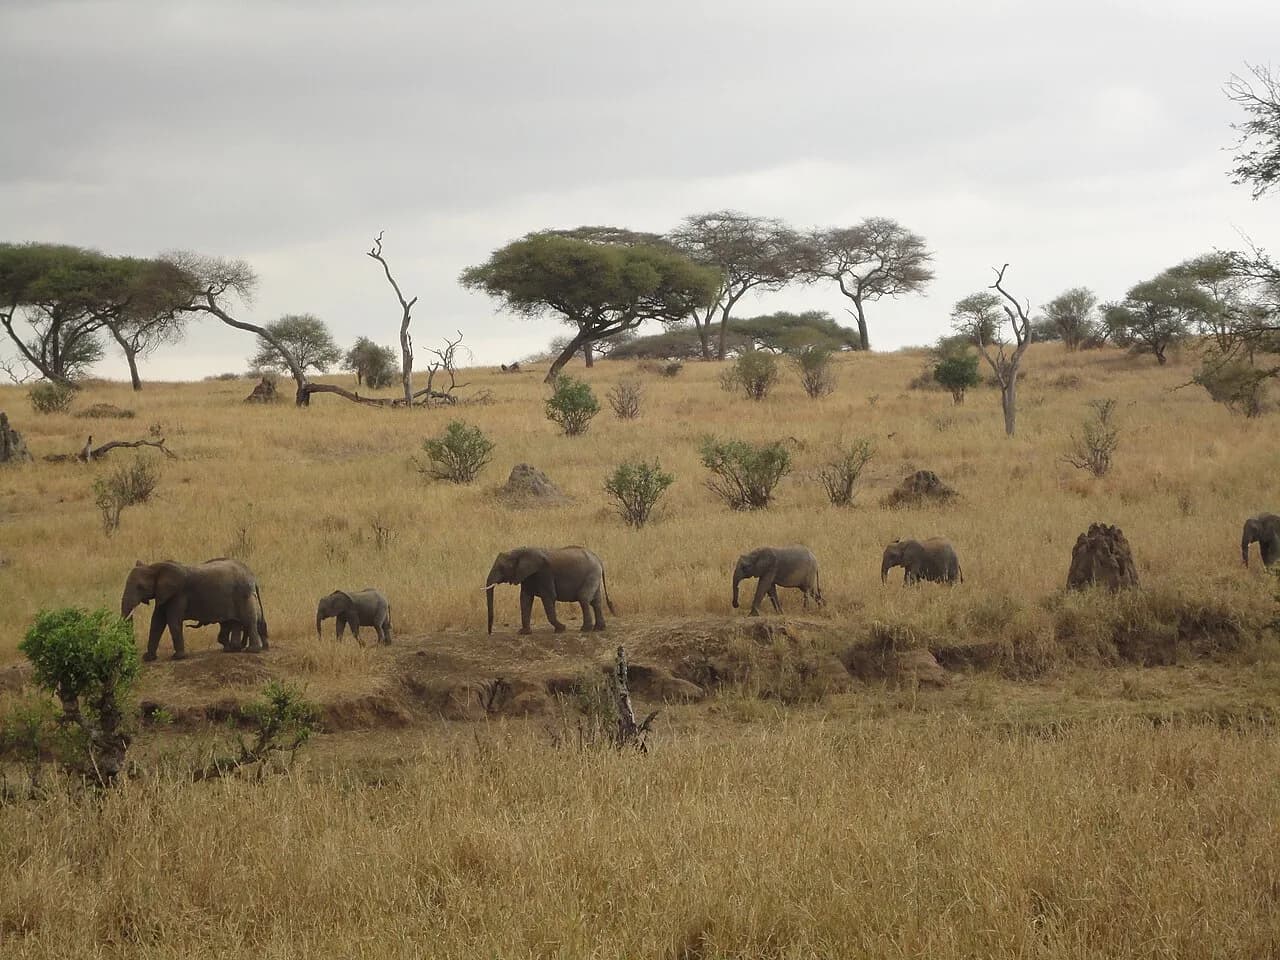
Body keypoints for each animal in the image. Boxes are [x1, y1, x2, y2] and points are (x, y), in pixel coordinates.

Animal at [121, 557, 267, 661]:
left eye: (140, 587)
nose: (133, 653)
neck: (154, 567)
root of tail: (252, 576)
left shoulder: (178, 594)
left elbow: (173, 622)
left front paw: (177, 657)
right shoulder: (163, 594)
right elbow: (156, 622)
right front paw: (148, 658)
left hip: (243, 595)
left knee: (248, 620)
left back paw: (251, 650)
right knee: (235, 622)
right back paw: (232, 649)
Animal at [485, 546, 614, 635]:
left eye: (501, 567)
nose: (490, 633)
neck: (520, 551)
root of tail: (598, 559)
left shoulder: (544, 574)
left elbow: (549, 597)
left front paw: (561, 629)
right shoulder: (527, 577)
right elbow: (525, 599)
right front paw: (524, 633)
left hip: (591, 574)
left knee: (584, 598)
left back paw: (585, 630)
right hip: (594, 575)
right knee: (596, 601)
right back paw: (599, 629)